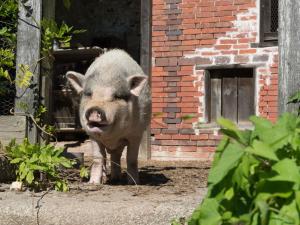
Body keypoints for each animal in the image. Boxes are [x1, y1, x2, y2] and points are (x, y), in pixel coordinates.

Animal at [65, 49, 150, 185]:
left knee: (116, 156)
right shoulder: (93, 136)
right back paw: (106, 179)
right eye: (89, 94)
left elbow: (131, 159)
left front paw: (133, 183)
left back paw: (116, 179)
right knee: (107, 157)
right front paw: (93, 183)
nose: (95, 109)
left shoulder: (136, 134)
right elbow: (98, 159)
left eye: (117, 96)